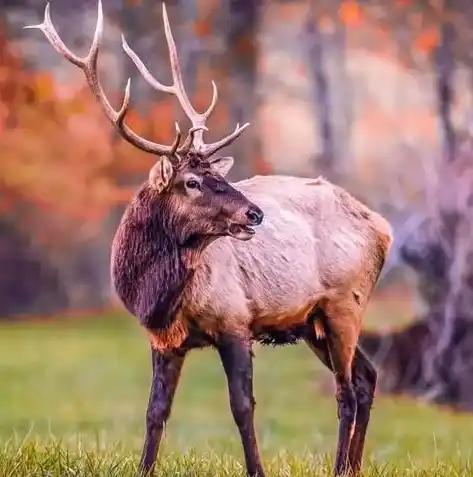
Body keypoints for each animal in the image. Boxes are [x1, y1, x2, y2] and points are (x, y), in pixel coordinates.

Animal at [27, 1, 392, 474]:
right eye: (193, 181)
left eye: (220, 176)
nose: (255, 213)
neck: (155, 295)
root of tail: (383, 228)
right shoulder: (162, 339)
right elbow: (155, 411)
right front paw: (144, 467)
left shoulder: (234, 319)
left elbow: (242, 407)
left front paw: (257, 469)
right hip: (312, 321)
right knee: (367, 376)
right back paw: (352, 466)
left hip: (345, 303)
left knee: (346, 390)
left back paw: (340, 466)